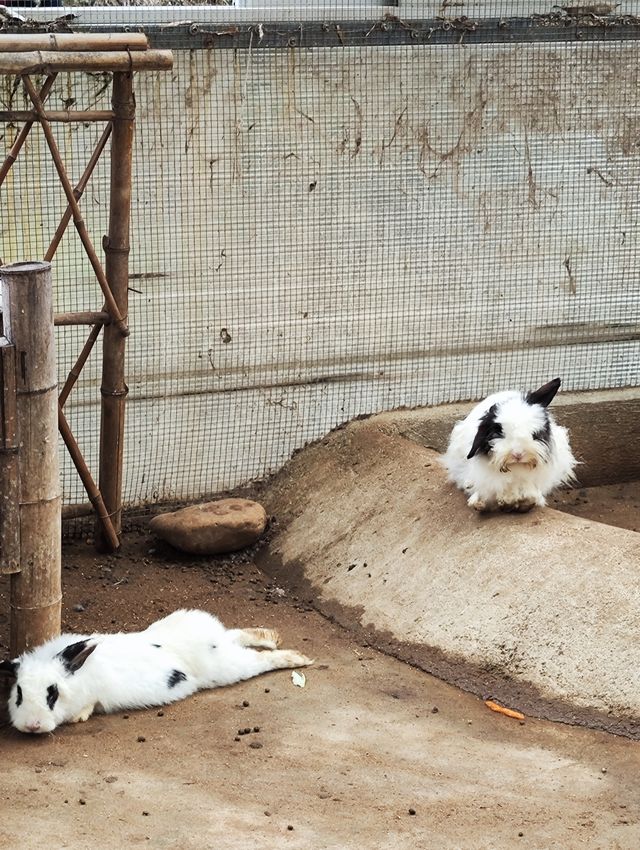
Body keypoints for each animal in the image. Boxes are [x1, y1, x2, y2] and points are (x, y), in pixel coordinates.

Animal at [0, 608, 314, 732]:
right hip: (227, 647)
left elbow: (89, 706)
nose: (32, 725)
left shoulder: (95, 694)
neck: (83, 675)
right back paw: (272, 636)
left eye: (52, 693)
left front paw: (79, 716)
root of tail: (213, 638)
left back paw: (299, 658)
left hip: (227, 668)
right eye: (19, 694)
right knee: (238, 635)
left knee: (260, 661)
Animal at [442, 378, 576, 510]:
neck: (515, 468)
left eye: (534, 434)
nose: (518, 454)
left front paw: (526, 501)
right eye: (499, 433)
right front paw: (479, 502)